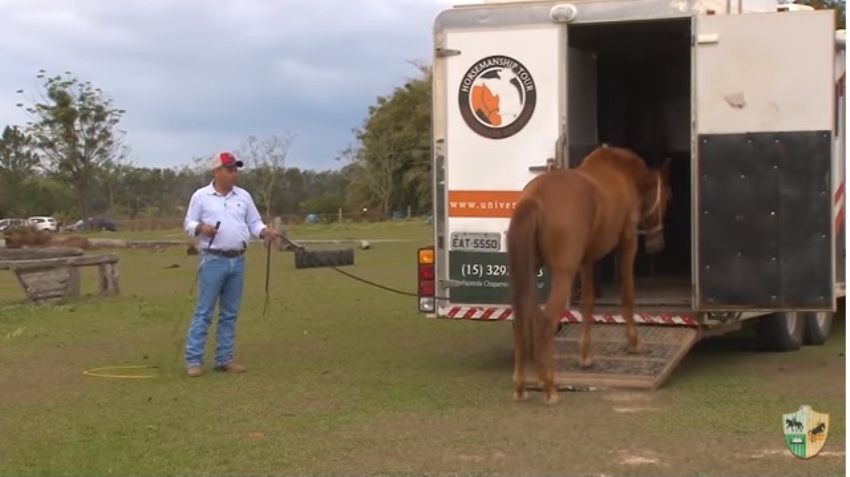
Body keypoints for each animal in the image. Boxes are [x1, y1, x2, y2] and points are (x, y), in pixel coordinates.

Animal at [504, 144, 668, 402]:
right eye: (667, 199)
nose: (657, 246)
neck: (621, 173)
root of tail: (536, 198)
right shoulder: (628, 243)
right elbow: (627, 295)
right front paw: (634, 343)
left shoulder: (587, 260)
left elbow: (587, 304)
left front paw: (586, 357)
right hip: (563, 273)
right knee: (546, 322)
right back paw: (549, 387)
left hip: (529, 271)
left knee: (522, 318)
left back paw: (521, 386)